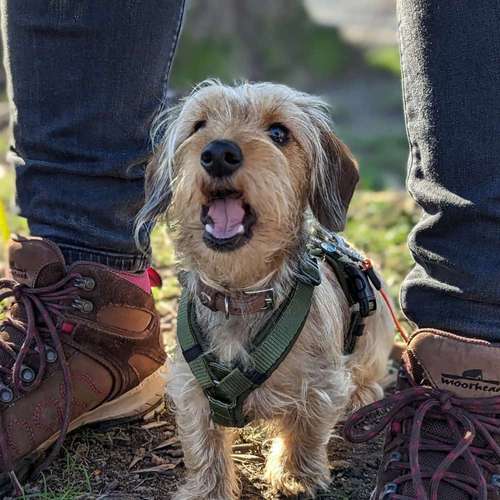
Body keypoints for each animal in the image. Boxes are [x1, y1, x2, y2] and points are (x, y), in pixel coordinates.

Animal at [138, 80, 394, 498]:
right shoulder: (191, 387)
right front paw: (208, 489)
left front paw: (295, 476)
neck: (241, 295)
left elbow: (306, 430)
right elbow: (203, 443)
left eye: (278, 133)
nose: (218, 153)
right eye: (199, 125)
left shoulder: (321, 385)